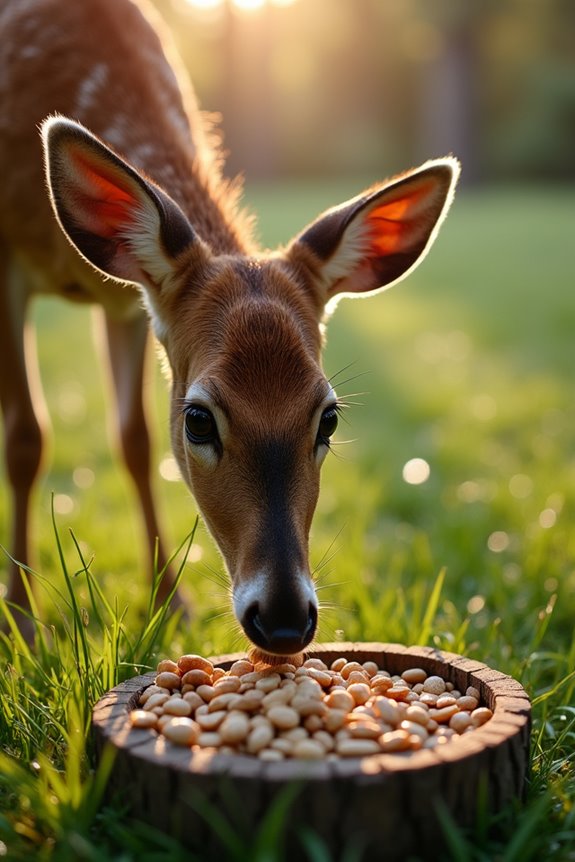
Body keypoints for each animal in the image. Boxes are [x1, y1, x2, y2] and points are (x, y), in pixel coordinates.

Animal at [0, 0, 459, 654]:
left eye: (329, 416)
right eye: (198, 419)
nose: (285, 618)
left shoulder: (128, 301)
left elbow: (134, 439)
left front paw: (172, 605)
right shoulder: (4, 262)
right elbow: (26, 439)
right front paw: (20, 623)